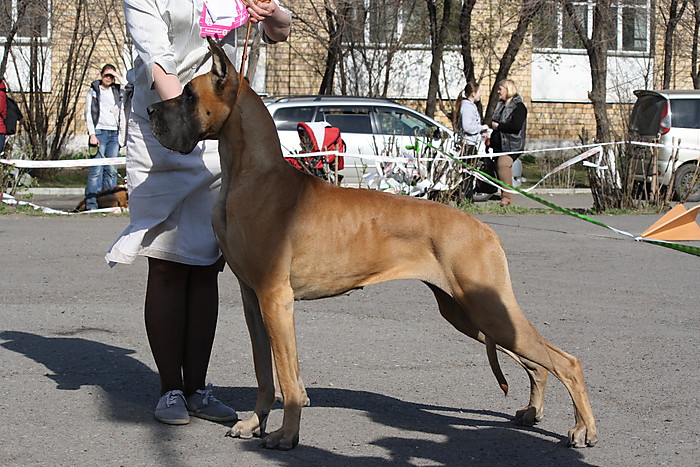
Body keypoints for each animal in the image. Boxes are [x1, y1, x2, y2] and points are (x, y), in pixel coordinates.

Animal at [148, 38, 596, 452]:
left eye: (188, 95)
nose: (150, 110)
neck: (249, 174)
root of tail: (485, 228)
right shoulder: (252, 299)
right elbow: (264, 372)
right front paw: (254, 423)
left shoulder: (276, 298)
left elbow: (288, 377)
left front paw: (287, 435)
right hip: (469, 313)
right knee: (537, 363)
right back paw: (532, 412)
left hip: (485, 309)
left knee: (567, 361)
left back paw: (583, 429)